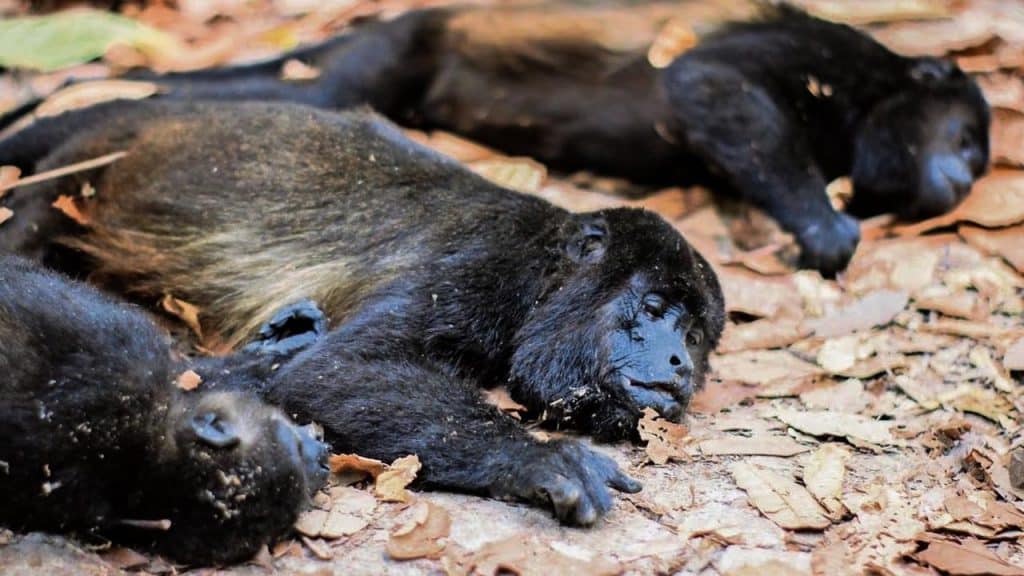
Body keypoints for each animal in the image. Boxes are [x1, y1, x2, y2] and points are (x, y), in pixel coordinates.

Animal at [0, 99, 720, 524]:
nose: (679, 363)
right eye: (653, 306)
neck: (544, 267)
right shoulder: (484, 265)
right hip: (76, 173)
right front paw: (541, 461)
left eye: (694, 334)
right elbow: (341, 369)